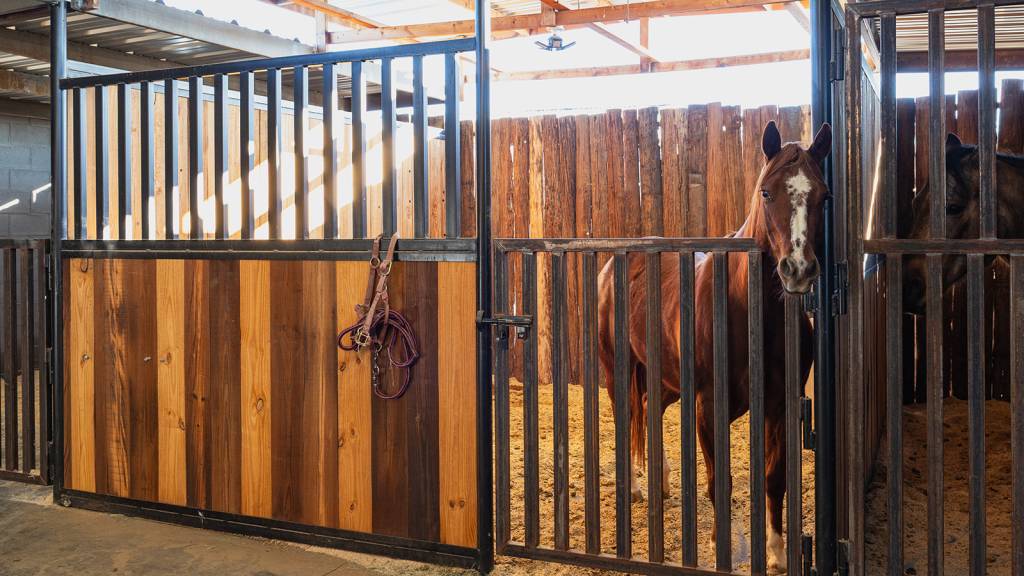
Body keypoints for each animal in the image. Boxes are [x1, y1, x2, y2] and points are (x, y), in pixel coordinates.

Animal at [596, 121, 832, 572]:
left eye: (824, 195)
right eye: (766, 192)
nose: (798, 270)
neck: (746, 312)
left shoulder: (780, 405)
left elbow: (774, 478)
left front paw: (776, 551)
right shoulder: (708, 406)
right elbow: (717, 482)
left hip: (666, 377)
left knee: (649, 409)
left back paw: (659, 481)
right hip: (617, 368)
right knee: (628, 415)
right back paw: (634, 487)